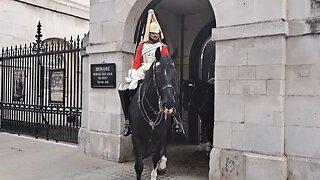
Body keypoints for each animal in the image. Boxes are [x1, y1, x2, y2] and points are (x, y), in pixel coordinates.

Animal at [129, 47, 176, 180]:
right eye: (158, 73)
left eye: (174, 73)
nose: (169, 104)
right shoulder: (136, 137)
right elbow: (139, 166)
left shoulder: (158, 138)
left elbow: (155, 159)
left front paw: (157, 169)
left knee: (166, 143)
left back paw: (163, 164)